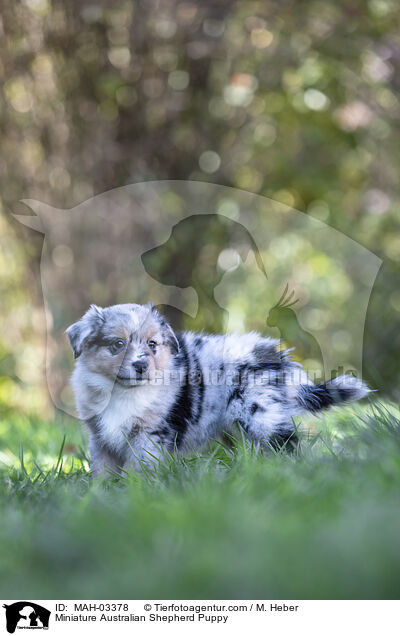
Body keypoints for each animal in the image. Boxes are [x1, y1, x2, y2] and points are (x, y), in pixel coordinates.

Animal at [65, 304, 368, 476]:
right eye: (117, 344)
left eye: (152, 345)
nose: (141, 366)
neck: (123, 391)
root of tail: (276, 356)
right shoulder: (101, 438)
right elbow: (102, 473)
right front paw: (101, 498)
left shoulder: (150, 435)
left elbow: (140, 469)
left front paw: (136, 492)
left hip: (259, 412)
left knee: (285, 441)